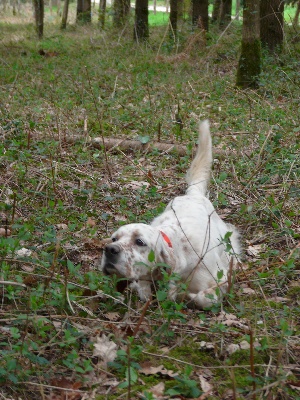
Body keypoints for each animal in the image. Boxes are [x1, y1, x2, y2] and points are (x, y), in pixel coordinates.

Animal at [100, 120, 239, 308]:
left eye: (140, 242)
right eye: (114, 238)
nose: (109, 249)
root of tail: (193, 194)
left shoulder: (219, 278)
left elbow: (203, 298)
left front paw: (184, 295)